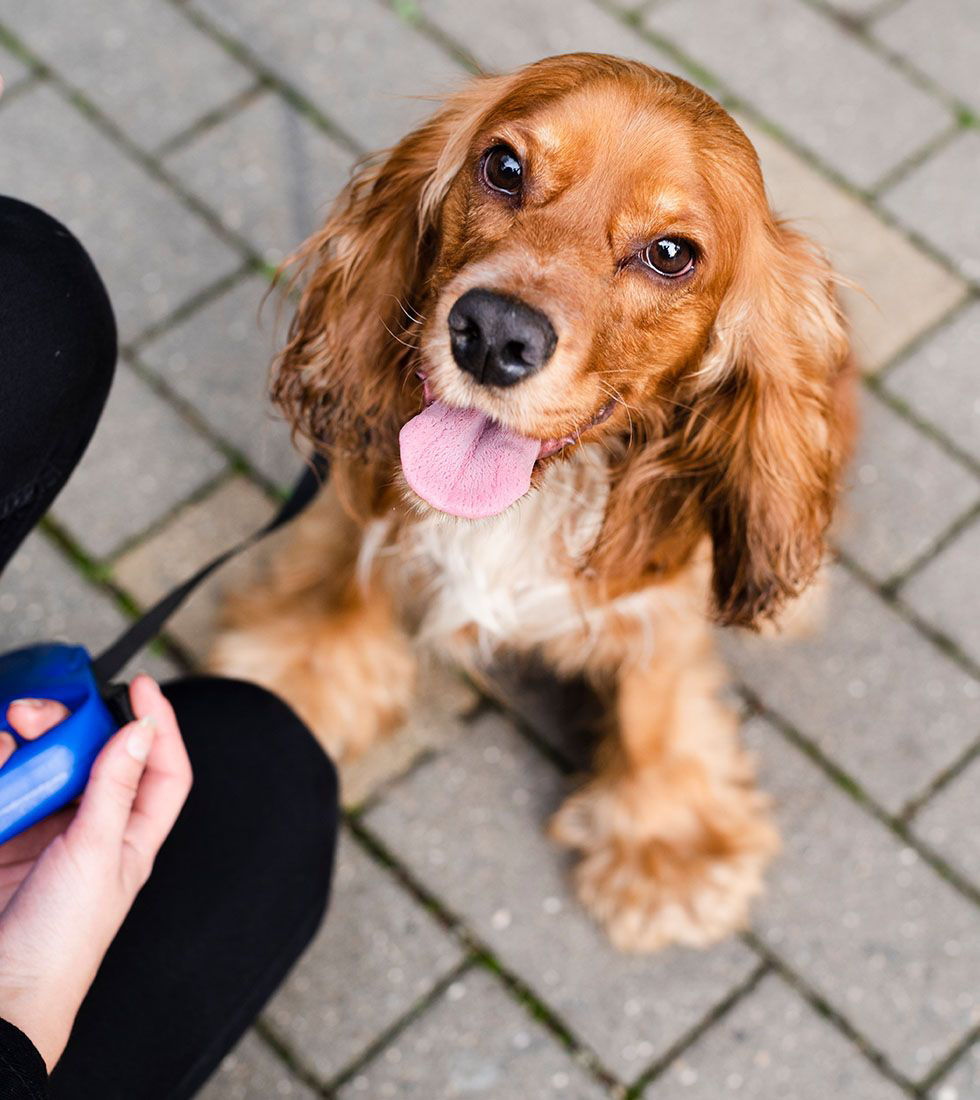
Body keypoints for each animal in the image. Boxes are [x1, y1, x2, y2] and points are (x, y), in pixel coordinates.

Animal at [211, 55, 853, 954]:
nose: (492, 333)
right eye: (504, 168)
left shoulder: (661, 587)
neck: (531, 500)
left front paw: (666, 838)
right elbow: (351, 575)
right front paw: (307, 671)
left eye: (671, 254)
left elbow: (659, 689)